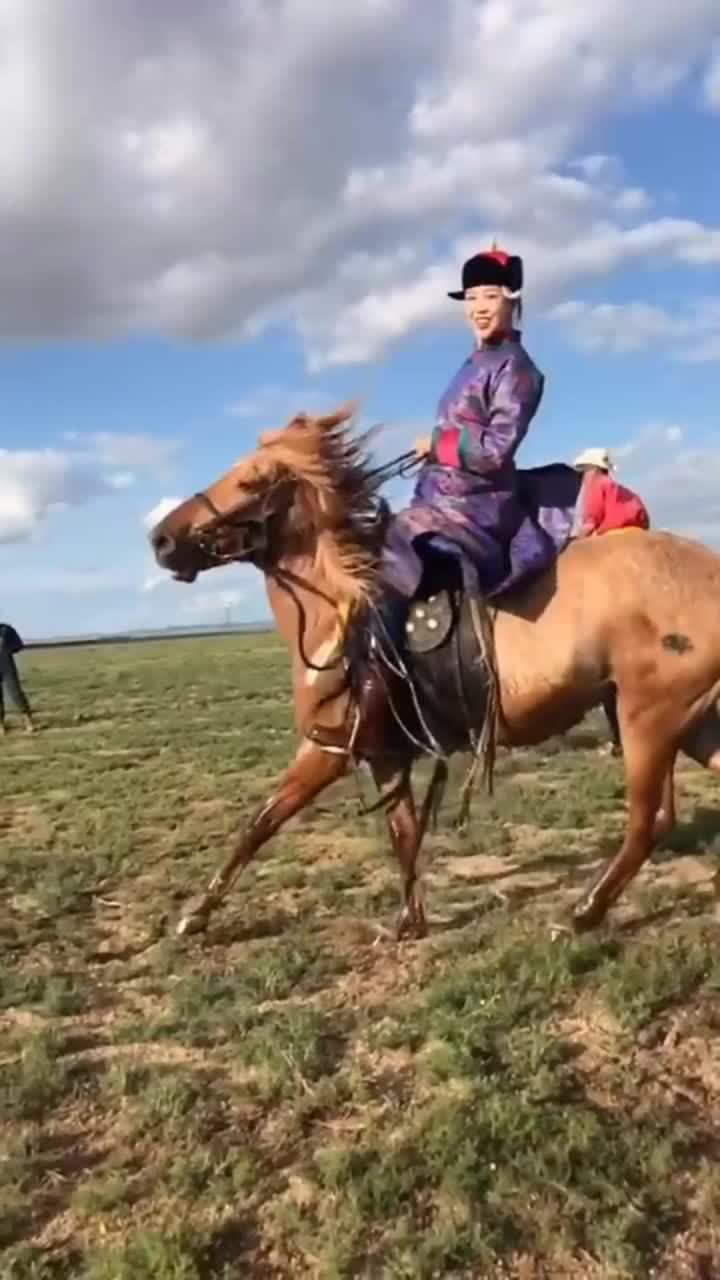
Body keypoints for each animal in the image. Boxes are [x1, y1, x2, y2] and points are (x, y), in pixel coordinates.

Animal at [149, 404, 720, 941]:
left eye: (252, 479)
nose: (160, 539)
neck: (340, 612)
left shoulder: (329, 748)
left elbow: (261, 823)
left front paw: (194, 916)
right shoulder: (382, 753)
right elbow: (400, 832)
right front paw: (409, 920)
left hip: (649, 720)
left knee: (646, 822)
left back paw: (580, 914)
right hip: (687, 721)